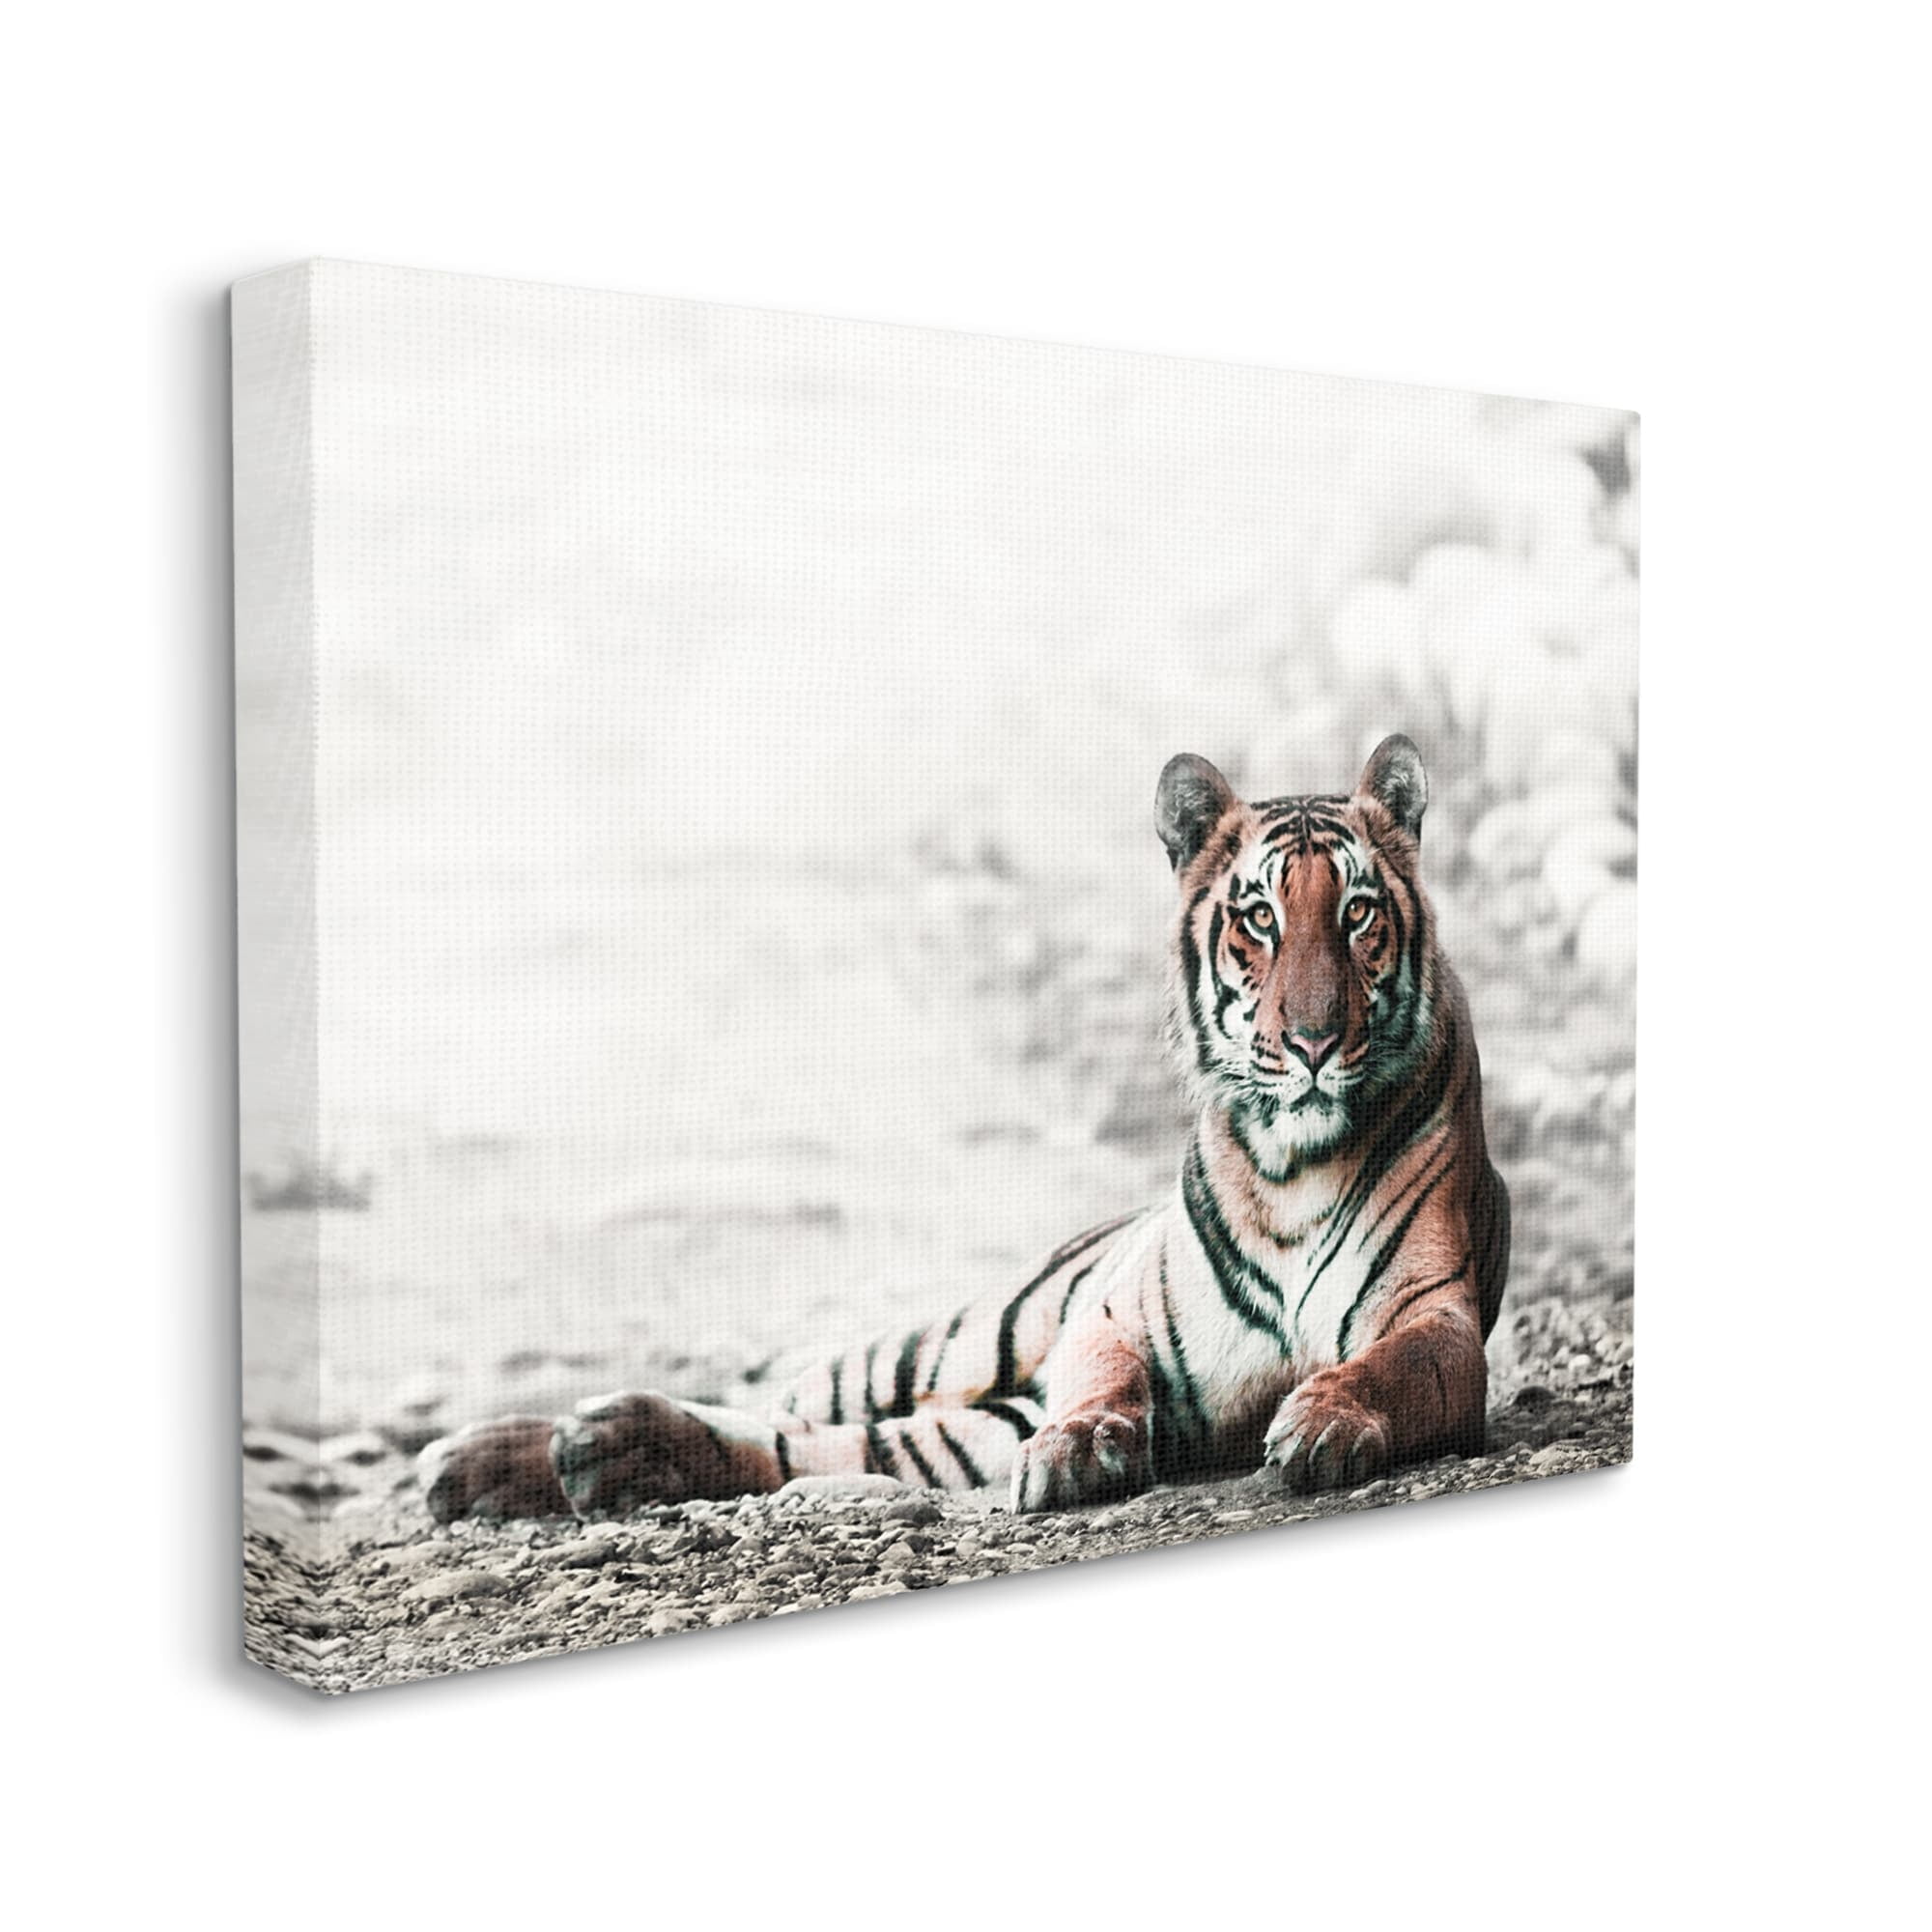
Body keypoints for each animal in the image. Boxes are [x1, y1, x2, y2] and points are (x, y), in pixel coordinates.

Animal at [420, 734, 1510, 1522]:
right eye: (1259, 921)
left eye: (1358, 914)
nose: (1315, 1040)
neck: (1293, 1165)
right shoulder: (1107, 1317)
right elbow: (1102, 1378)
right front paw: (1077, 1447)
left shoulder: (1437, 1313)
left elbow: (1388, 1365)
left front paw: (1323, 1420)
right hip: (954, 1340)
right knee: (792, 1401)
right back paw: (506, 1453)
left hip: (959, 1422)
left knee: (800, 1448)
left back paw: (592, 1453)